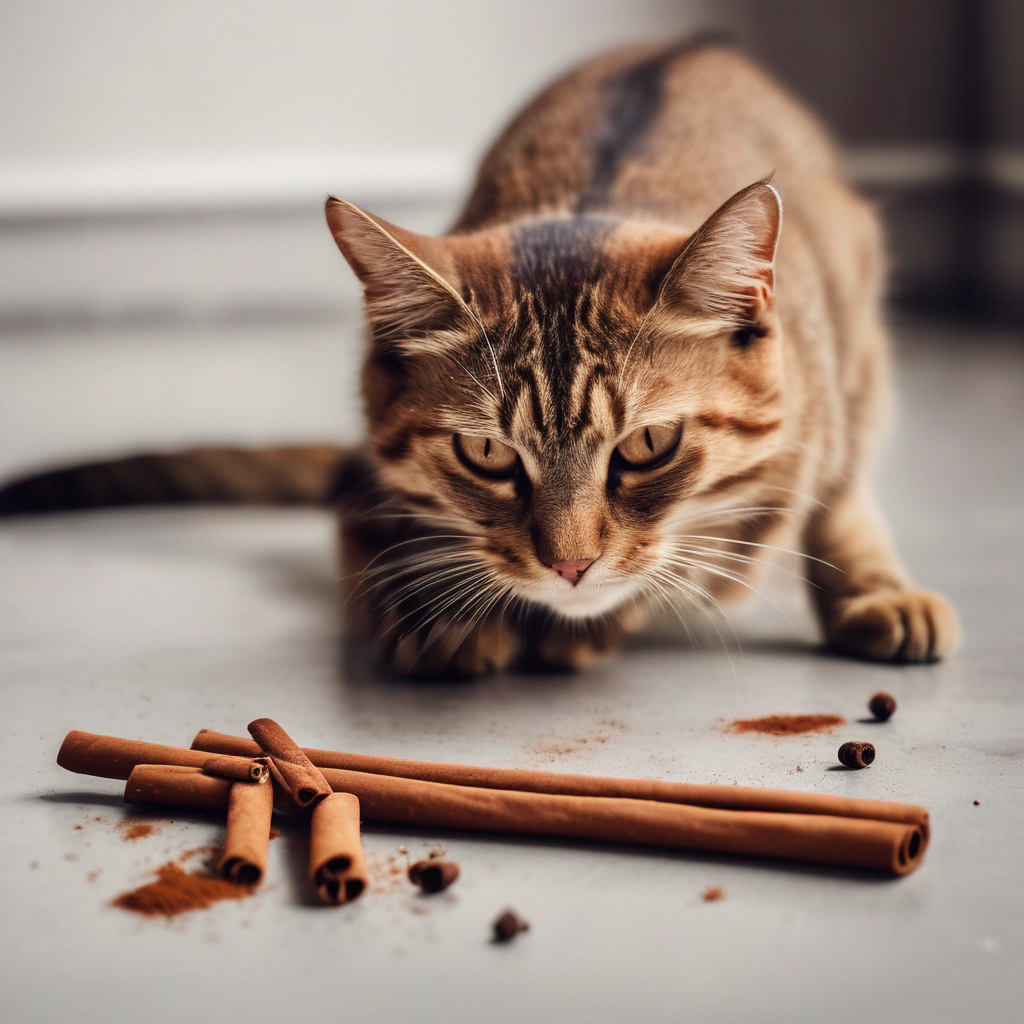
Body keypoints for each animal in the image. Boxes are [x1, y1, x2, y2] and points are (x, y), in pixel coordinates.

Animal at [0, 41, 958, 679]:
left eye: (648, 446)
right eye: (488, 453)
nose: (570, 567)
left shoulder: (833, 384)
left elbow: (799, 510)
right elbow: (375, 529)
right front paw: (441, 608)